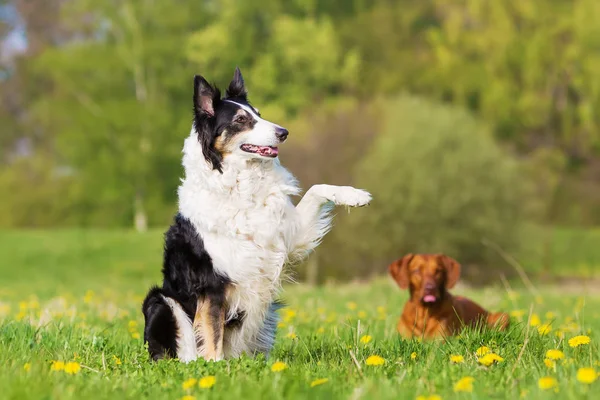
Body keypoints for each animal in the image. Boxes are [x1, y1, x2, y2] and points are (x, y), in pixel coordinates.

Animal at [141, 69, 370, 362]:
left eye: (259, 114)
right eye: (241, 120)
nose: (284, 132)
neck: (242, 183)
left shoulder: (290, 235)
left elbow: (317, 189)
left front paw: (354, 195)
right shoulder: (212, 284)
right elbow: (211, 334)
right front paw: (213, 368)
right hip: (160, 300)